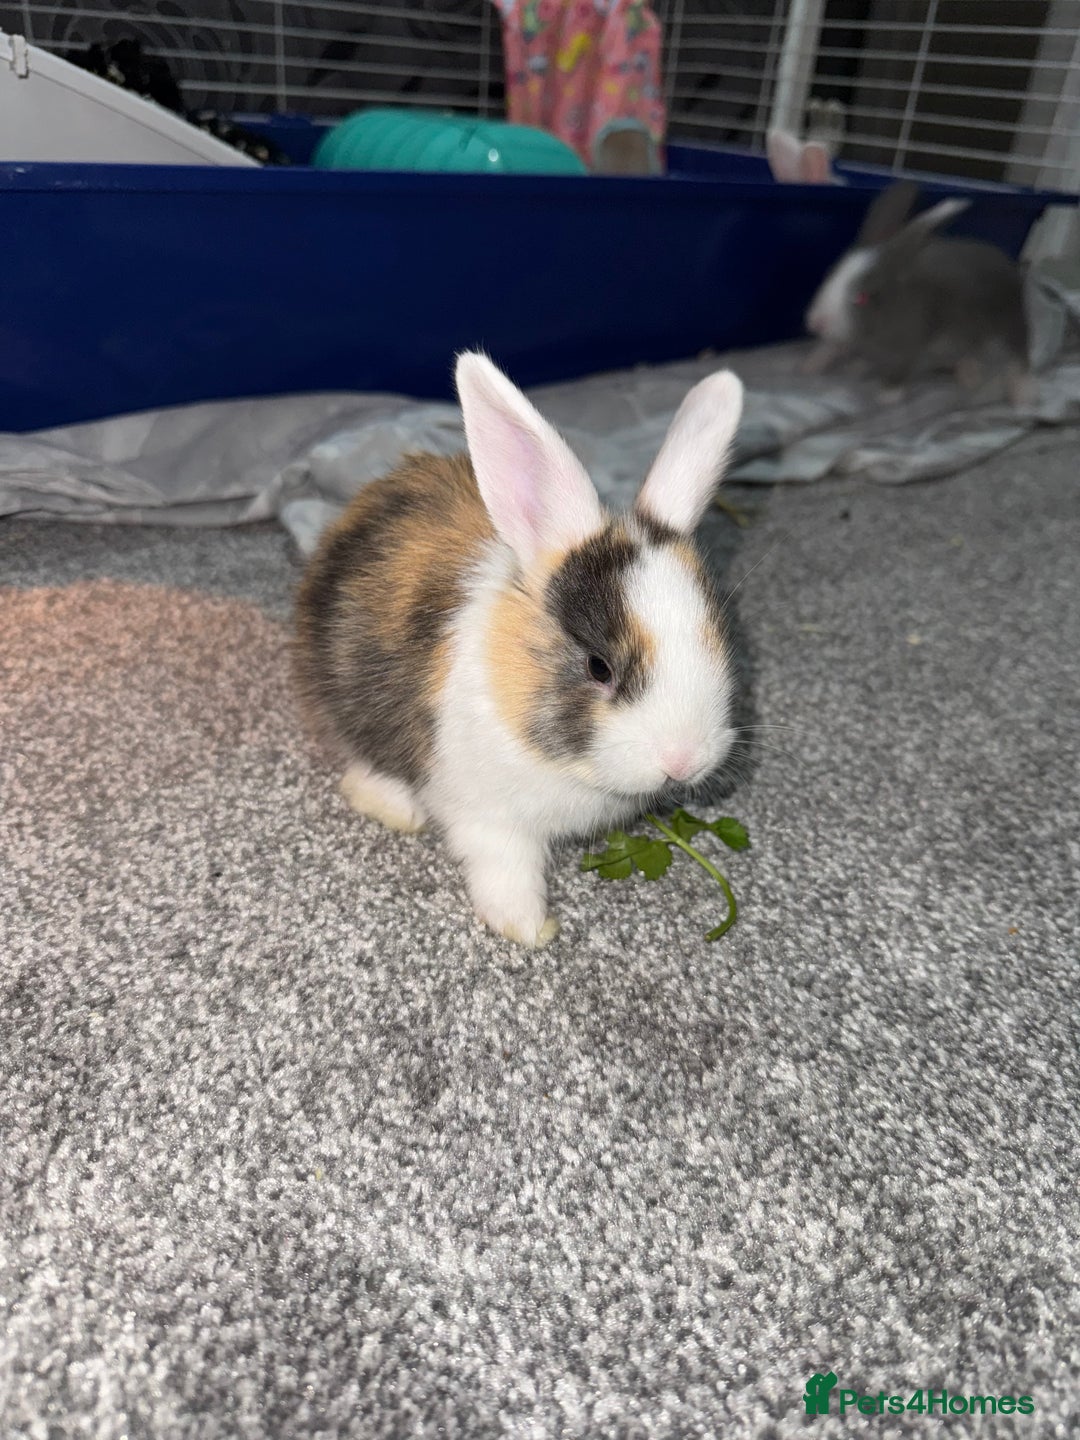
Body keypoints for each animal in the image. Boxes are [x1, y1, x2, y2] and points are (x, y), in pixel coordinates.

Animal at [294, 353, 745, 948]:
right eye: (598, 667)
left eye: (720, 639)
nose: (683, 760)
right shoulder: (489, 818)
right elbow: (505, 870)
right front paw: (529, 928)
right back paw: (396, 808)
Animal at [803, 179, 1032, 404]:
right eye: (829, 274)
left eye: (861, 297)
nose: (815, 322)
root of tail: (1012, 268)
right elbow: (830, 347)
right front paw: (811, 365)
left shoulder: (910, 347)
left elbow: (901, 370)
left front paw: (888, 396)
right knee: (971, 354)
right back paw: (968, 376)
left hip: (1010, 325)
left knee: (1019, 356)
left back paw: (1020, 394)